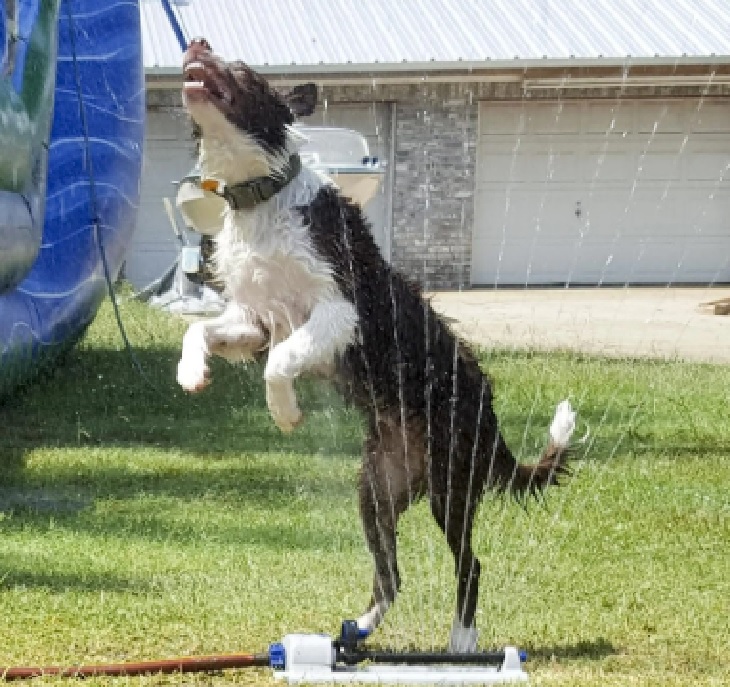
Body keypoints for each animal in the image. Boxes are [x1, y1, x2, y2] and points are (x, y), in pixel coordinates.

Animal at [176, 39, 576, 656]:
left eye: (240, 70)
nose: (197, 42)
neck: (261, 199)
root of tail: (491, 410)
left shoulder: (340, 312)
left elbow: (279, 363)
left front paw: (285, 413)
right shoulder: (254, 319)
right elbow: (200, 331)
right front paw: (191, 373)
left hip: (452, 484)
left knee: (470, 563)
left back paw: (462, 641)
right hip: (377, 488)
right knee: (390, 572)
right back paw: (356, 630)